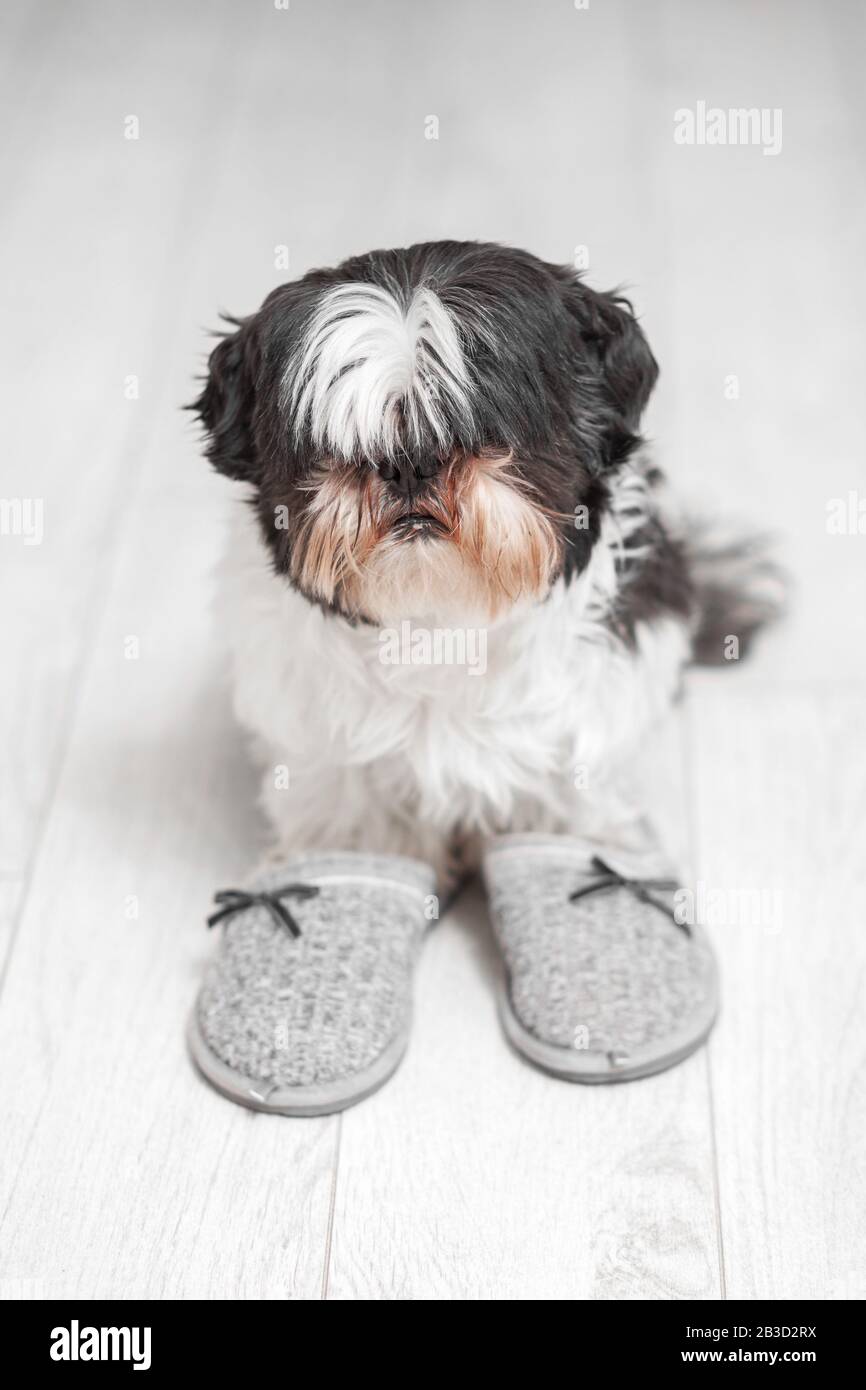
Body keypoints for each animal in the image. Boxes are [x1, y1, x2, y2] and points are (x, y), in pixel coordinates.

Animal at [191, 239, 783, 889]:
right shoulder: (331, 755)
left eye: (488, 426)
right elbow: (358, 823)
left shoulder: (578, 731)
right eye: (336, 446)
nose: (410, 461)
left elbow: (566, 808)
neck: (442, 620)